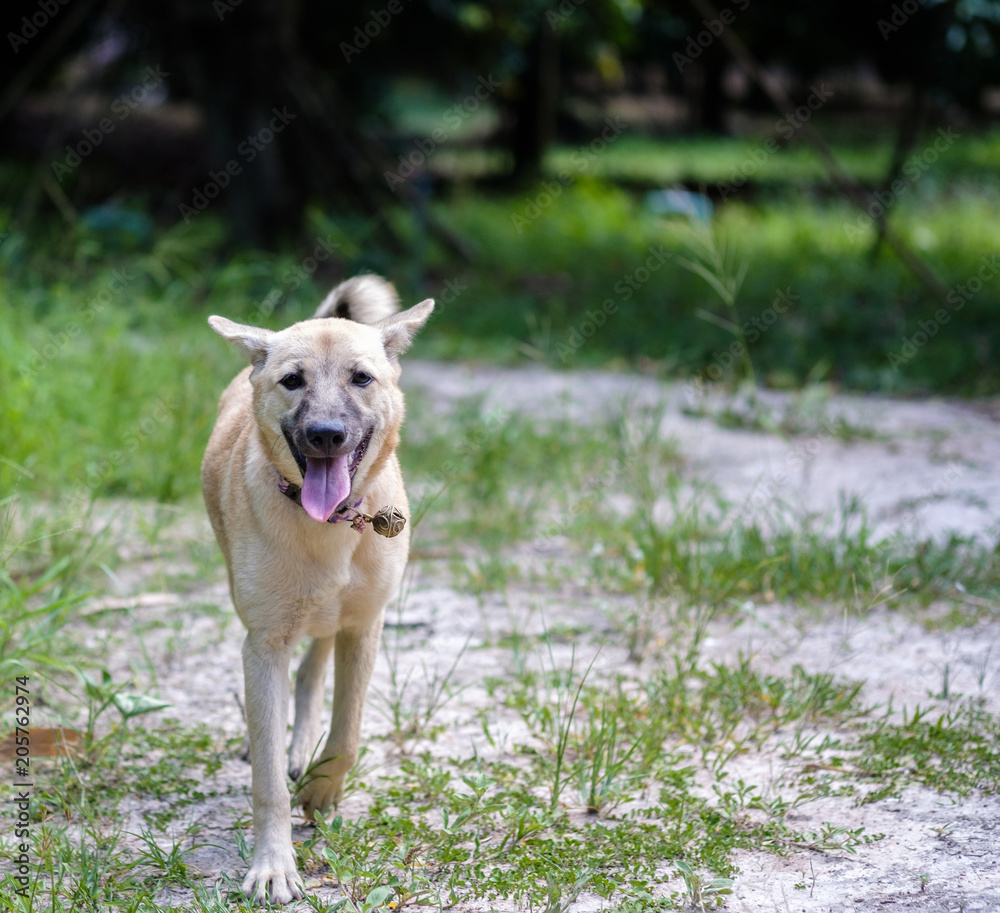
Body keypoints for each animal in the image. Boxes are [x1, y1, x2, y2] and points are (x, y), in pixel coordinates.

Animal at [202, 274, 434, 900]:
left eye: (362, 377)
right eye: (292, 379)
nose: (326, 435)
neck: (329, 527)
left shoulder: (364, 625)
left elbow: (348, 730)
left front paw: (322, 789)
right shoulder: (263, 643)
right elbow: (267, 784)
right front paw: (273, 866)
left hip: (332, 618)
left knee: (313, 671)